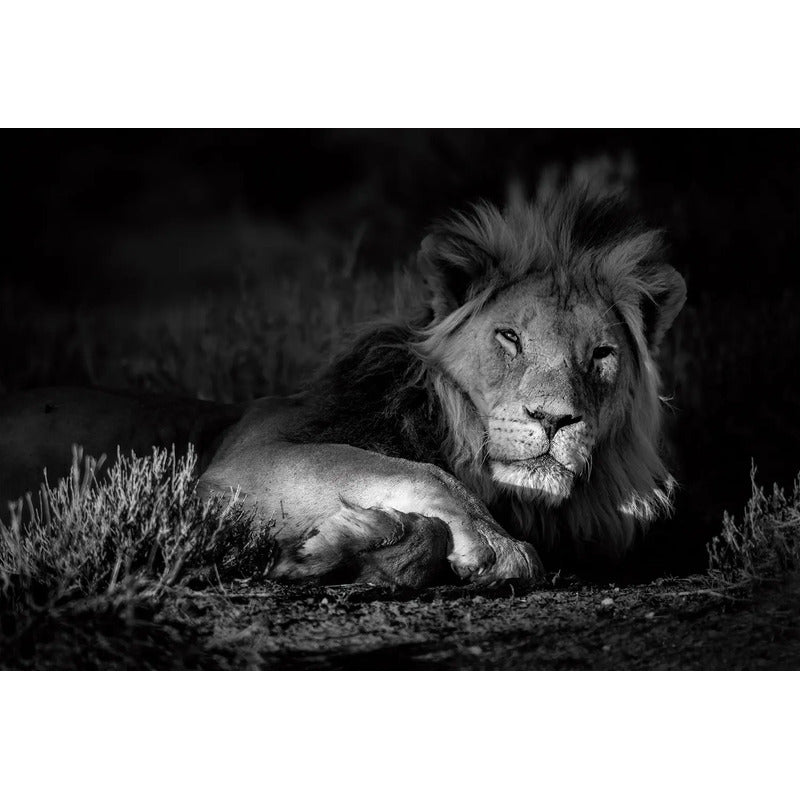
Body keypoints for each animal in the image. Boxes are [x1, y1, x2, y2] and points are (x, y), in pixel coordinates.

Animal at [0, 181, 686, 588]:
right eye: (510, 338)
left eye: (600, 355)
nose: (554, 420)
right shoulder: (238, 462)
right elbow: (421, 473)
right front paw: (495, 545)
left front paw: (336, 546)